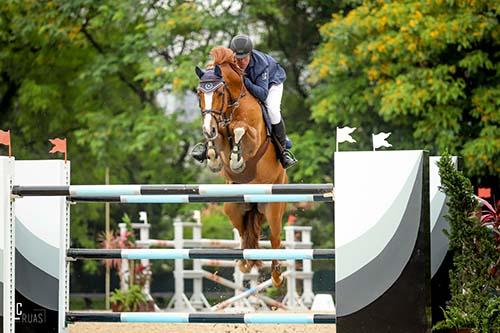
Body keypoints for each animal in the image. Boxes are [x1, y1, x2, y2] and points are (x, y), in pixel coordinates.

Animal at [196, 45, 290, 286]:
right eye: (199, 94)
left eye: (219, 93)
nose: (207, 129)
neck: (233, 103)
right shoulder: (219, 128)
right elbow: (219, 139)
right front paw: (211, 155)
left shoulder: (254, 137)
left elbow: (240, 129)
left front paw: (237, 160)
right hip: (233, 207)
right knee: (244, 235)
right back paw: (244, 264)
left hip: (274, 209)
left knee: (275, 239)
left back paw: (277, 276)